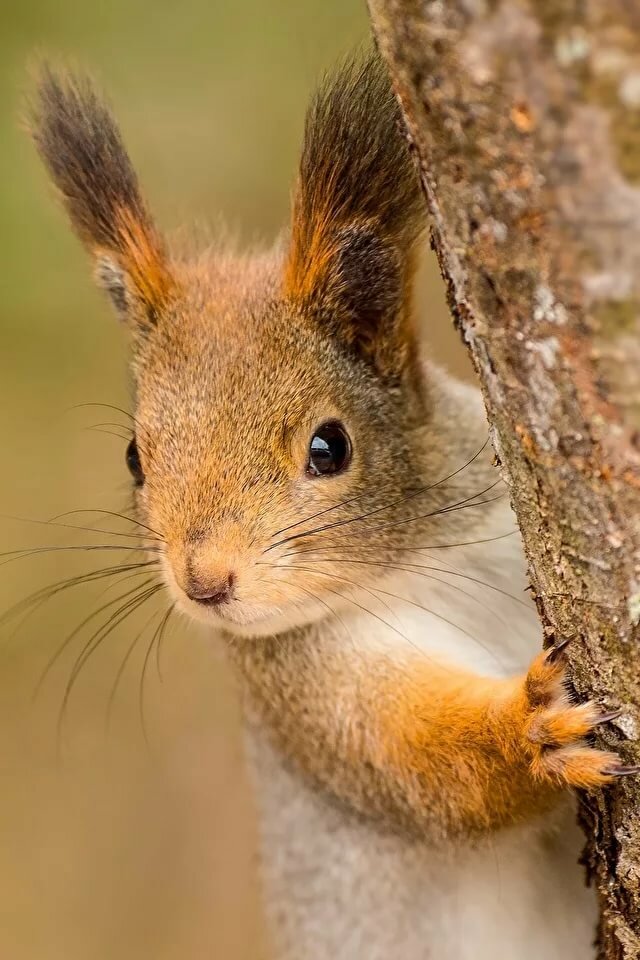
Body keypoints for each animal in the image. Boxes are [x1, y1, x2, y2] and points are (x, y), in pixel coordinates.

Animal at [29, 52, 633, 960]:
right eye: (135, 457)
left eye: (329, 447)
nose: (205, 583)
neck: (416, 559)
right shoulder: (314, 701)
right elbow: (428, 774)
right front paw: (532, 733)